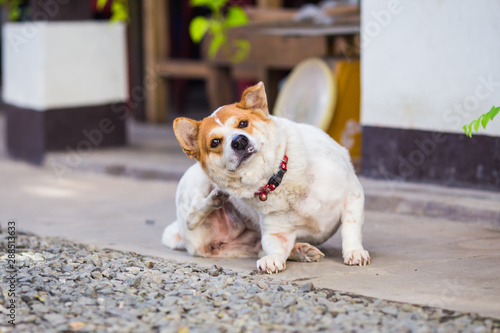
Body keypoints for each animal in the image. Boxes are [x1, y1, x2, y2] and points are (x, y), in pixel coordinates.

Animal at [162, 81, 370, 272]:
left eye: (243, 124)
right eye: (214, 142)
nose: (239, 141)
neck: (276, 178)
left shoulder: (353, 194)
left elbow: (350, 228)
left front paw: (354, 251)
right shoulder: (276, 233)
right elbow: (276, 249)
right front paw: (274, 259)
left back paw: (301, 251)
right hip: (195, 185)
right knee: (192, 214)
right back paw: (214, 200)